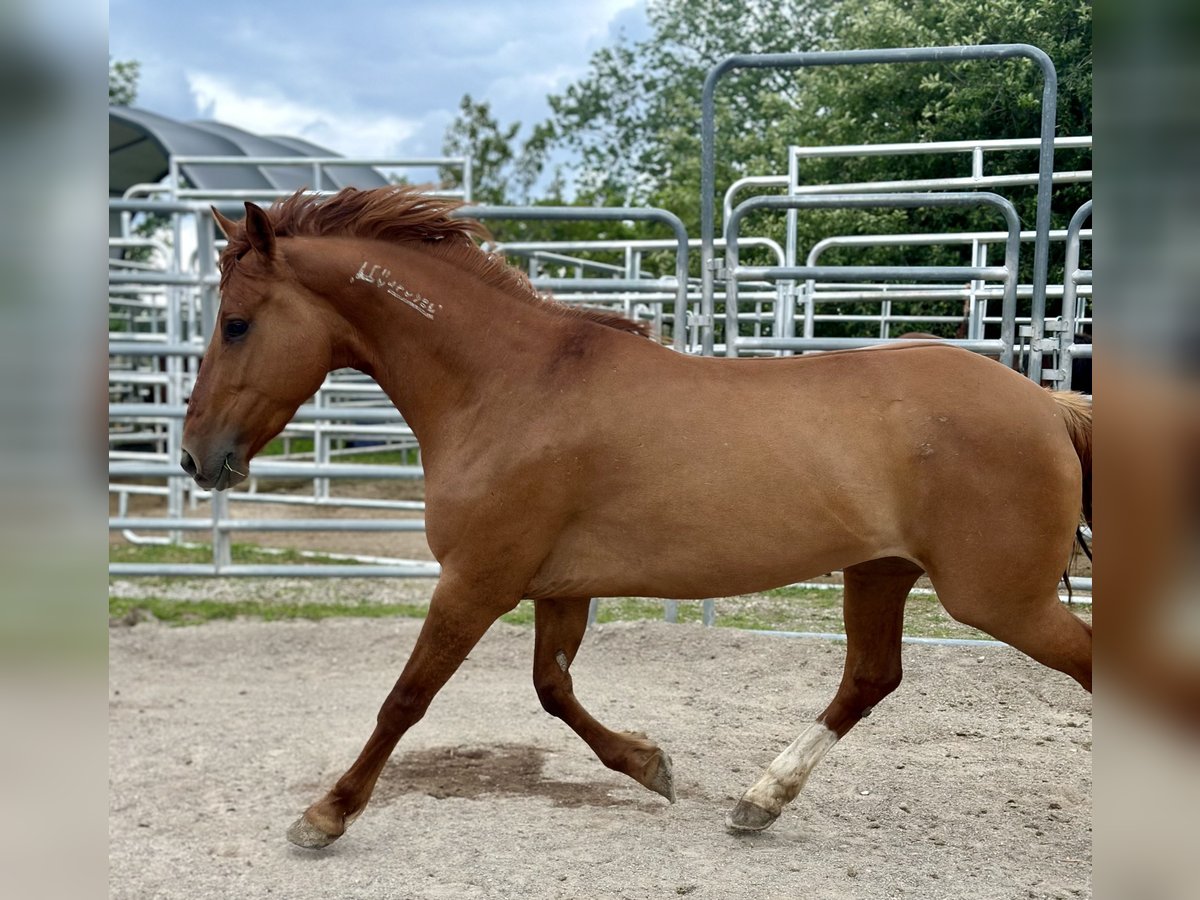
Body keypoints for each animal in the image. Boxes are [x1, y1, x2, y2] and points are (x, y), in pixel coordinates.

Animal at [182, 187, 1094, 849]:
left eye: (236, 324)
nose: (195, 458)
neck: (509, 387)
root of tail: (1048, 407)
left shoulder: (475, 581)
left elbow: (406, 698)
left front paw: (325, 815)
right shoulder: (556, 587)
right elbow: (552, 690)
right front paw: (652, 764)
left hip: (997, 599)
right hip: (880, 573)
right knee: (870, 679)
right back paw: (758, 802)